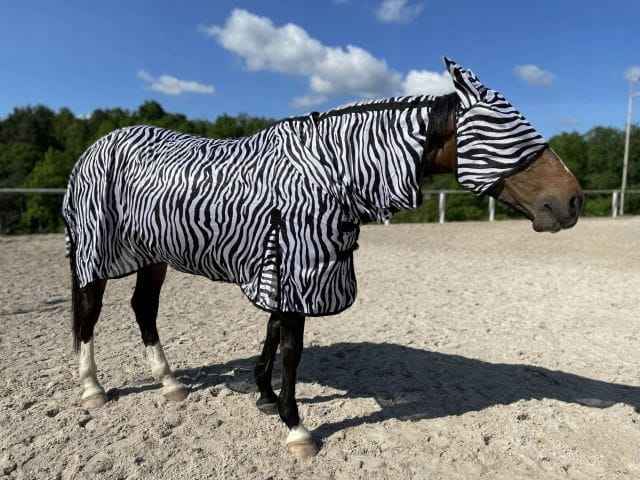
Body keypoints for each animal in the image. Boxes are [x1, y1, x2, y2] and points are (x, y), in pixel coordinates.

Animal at [62, 58, 582, 457]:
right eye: (510, 131)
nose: (571, 200)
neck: (328, 172)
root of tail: (94, 148)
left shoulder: (283, 270)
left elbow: (273, 334)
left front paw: (265, 396)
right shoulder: (294, 266)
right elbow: (291, 349)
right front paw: (296, 428)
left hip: (153, 255)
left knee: (143, 309)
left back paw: (169, 383)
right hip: (96, 251)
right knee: (90, 312)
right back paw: (92, 389)